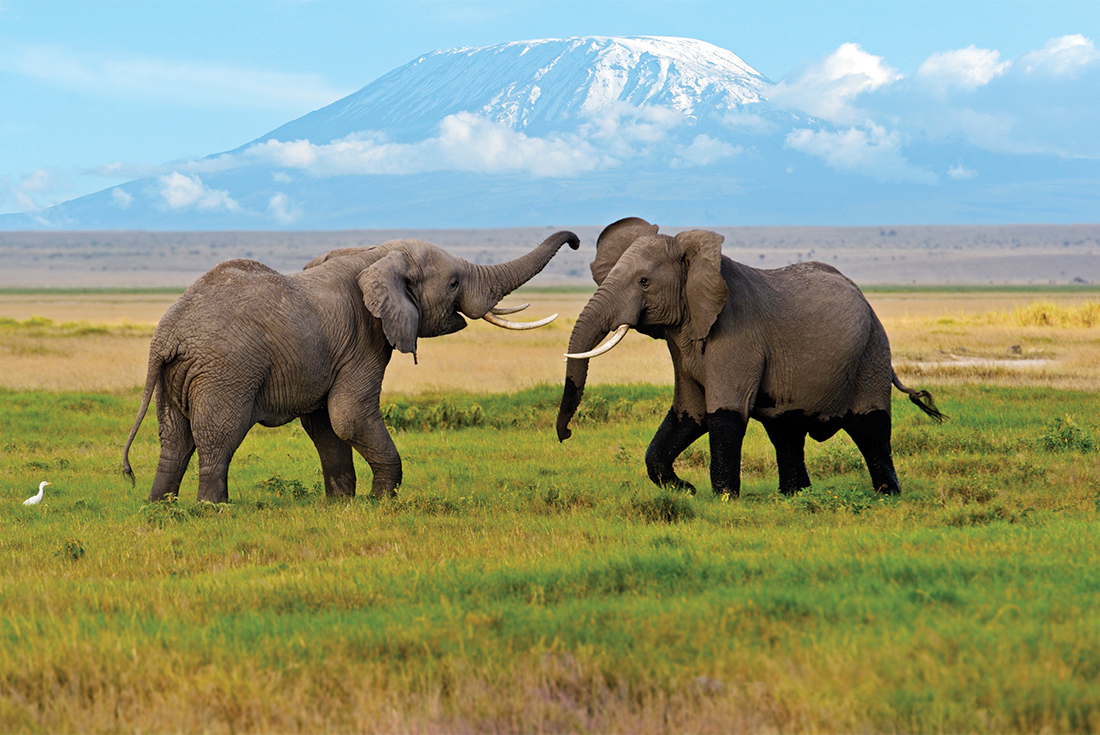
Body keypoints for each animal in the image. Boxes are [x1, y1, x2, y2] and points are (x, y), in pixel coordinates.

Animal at [122, 230, 580, 503]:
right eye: (452, 283)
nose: (576, 241)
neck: (375, 253)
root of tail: (167, 336)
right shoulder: (364, 338)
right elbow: (349, 416)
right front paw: (382, 501)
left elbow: (324, 425)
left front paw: (342, 504)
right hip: (226, 372)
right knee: (219, 437)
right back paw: (213, 509)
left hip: (175, 376)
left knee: (175, 439)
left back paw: (161, 507)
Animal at [556, 217, 943, 498]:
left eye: (644, 282)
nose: (566, 434)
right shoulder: (681, 339)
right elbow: (690, 413)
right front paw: (686, 490)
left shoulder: (737, 334)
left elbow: (724, 413)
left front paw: (724, 499)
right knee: (786, 431)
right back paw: (795, 496)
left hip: (872, 351)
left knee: (871, 428)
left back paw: (887, 495)